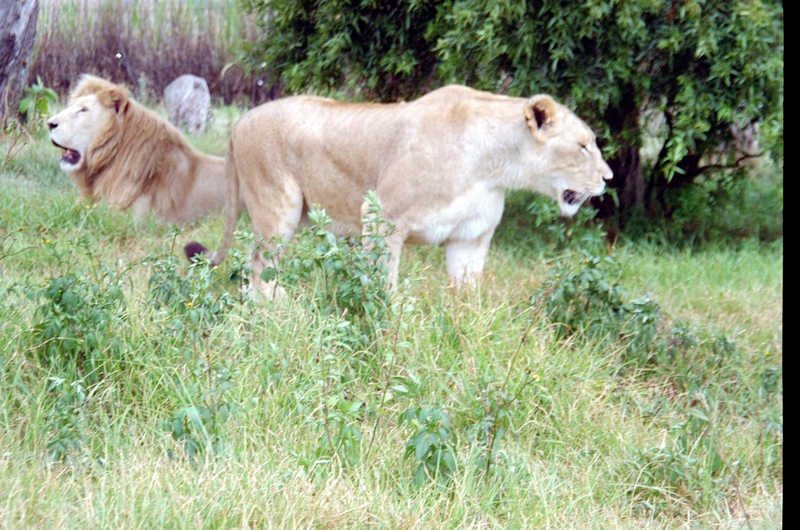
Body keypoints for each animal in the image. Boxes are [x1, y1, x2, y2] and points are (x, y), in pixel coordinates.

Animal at [188, 84, 612, 294]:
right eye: (583, 146)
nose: (608, 178)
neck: (494, 168)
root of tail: (240, 121)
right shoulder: (383, 220)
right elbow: (384, 291)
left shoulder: (470, 238)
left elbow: (467, 300)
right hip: (278, 210)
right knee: (259, 267)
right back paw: (276, 312)